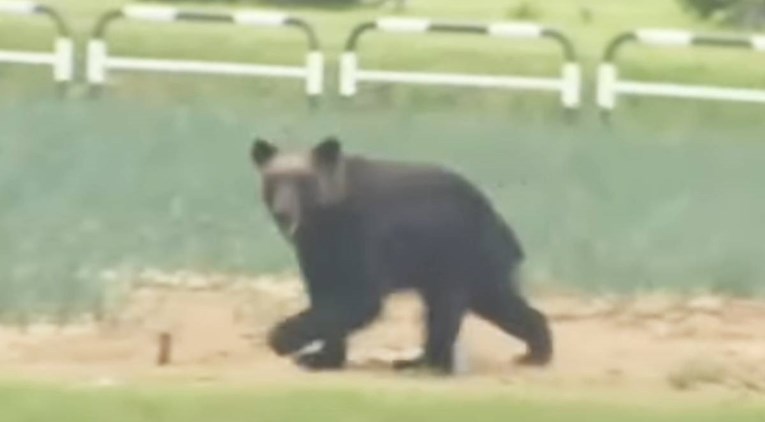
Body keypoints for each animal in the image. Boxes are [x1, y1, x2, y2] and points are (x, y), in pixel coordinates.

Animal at [248, 134, 552, 372]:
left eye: (303, 181)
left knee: (449, 309)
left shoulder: (362, 233)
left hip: (459, 253)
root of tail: (500, 221)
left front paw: (281, 339)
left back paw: (428, 363)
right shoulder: (317, 251)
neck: (325, 220)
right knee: (492, 302)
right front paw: (320, 358)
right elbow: (325, 294)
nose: (283, 212)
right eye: (274, 180)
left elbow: (360, 298)